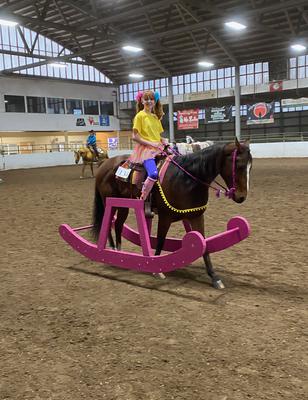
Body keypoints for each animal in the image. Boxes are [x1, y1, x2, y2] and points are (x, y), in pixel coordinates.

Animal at [92, 139, 251, 290]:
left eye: (250, 166)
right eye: (239, 166)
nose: (242, 197)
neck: (186, 178)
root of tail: (104, 164)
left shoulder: (196, 216)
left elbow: (204, 244)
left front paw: (214, 277)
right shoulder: (165, 217)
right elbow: (161, 240)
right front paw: (156, 270)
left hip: (124, 204)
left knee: (118, 225)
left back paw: (119, 251)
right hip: (110, 203)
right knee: (108, 224)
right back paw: (109, 251)